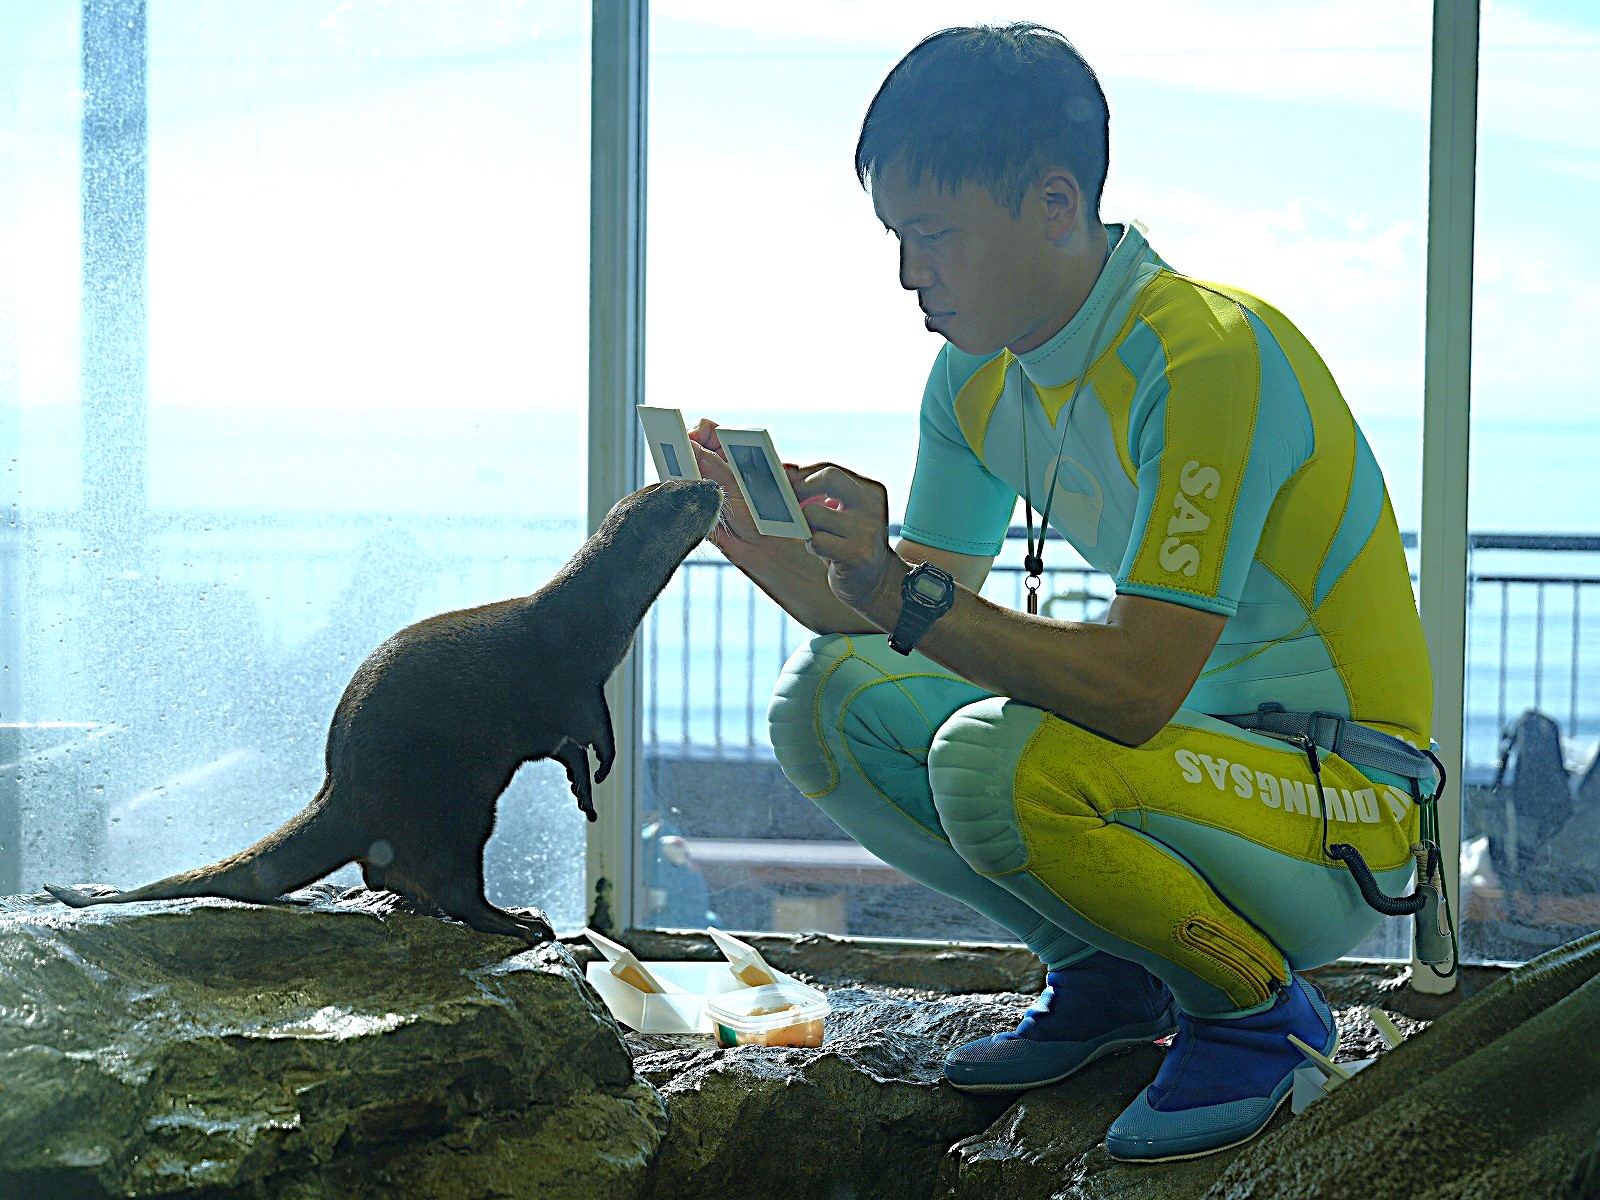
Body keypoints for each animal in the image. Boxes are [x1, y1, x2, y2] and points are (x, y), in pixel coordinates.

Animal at [43, 483, 723, 947]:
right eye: (683, 496)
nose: (712, 486)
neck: (591, 619)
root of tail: (343, 792)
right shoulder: (573, 686)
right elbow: (591, 732)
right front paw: (601, 770)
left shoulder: (564, 711)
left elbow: (565, 751)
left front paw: (583, 789)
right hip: (453, 808)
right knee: (453, 885)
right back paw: (515, 923)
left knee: (384, 877)